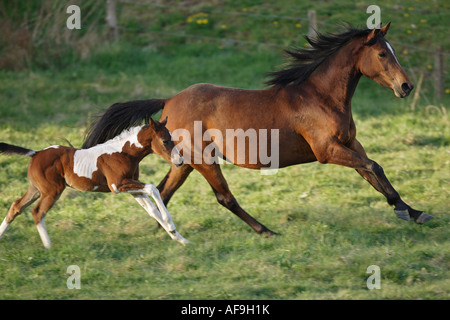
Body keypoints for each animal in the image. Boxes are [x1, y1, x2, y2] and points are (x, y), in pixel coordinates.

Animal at [0, 117, 188, 248]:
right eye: (165, 141)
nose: (180, 161)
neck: (123, 153)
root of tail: (35, 153)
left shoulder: (133, 188)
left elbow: (152, 210)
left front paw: (179, 237)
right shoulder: (118, 186)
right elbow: (153, 188)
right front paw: (170, 225)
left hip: (36, 189)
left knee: (16, 206)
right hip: (52, 190)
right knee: (37, 212)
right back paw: (48, 246)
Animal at [81, 23, 432, 235]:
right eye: (383, 53)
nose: (406, 86)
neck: (320, 97)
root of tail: (168, 101)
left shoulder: (350, 145)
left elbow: (374, 172)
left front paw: (413, 211)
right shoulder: (328, 151)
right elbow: (373, 167)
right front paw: (406, 211)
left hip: (186, 162)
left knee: (165, 191)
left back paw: (166, 232)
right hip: (204, 160)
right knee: (224, 197)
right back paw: (265, 230)